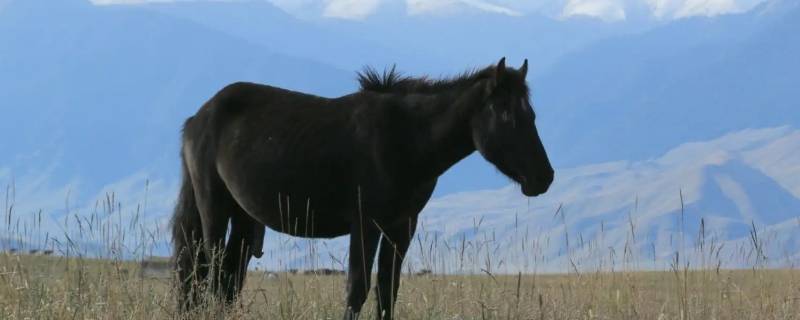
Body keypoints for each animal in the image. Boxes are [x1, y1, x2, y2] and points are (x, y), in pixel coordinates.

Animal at [172, 58, 552, 320]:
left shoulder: (401, 226)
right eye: (506, 115)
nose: (544, 178)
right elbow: (358, 288)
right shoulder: (365, 224)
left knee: (226, 278)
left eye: (532, 115)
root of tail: (198, 117)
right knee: (209, 272)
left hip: (242, 216)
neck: (405, 139)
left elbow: (387, 290)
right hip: (214, 210)